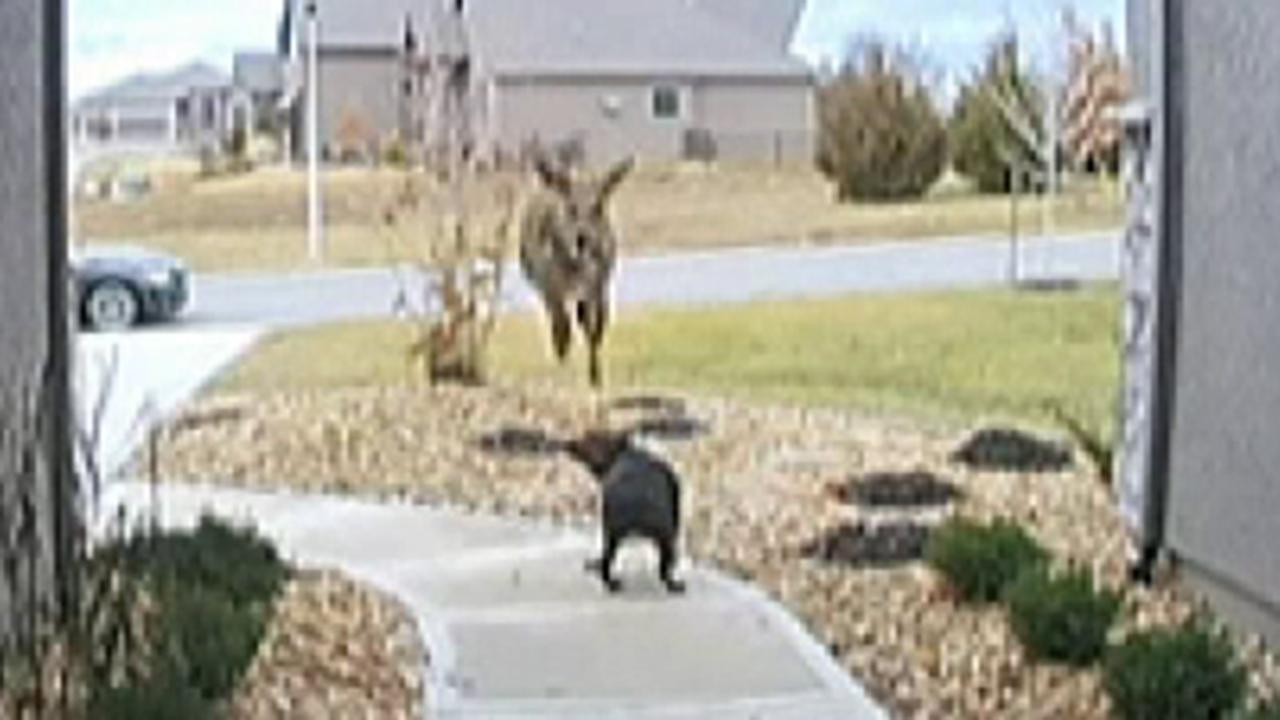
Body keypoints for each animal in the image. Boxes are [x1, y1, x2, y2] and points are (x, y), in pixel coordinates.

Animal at [517, 151, 632, 386]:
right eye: (571, 207)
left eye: (598, 206)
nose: (583, 240)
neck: (574, 265)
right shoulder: (551, 288)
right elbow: (562, 330)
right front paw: (564, 374)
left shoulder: (597, 286)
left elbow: (595, 328)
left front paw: (595, 377)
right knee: (561, 325)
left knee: (584, 322)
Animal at [563, 427, 686, 591]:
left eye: (588, 440)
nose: (570, 444)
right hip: (661, 535)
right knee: (663, 568)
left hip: (616, 533)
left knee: (607, 562)